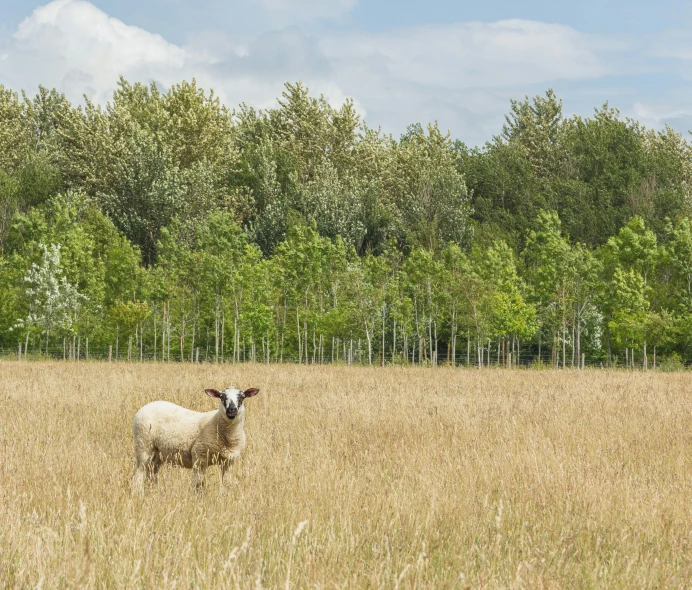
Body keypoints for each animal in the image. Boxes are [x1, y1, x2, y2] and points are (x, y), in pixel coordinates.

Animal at [132, 386, 260, 492]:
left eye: (242, 396)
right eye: (221, 396)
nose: (231, 410)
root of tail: (147, 406)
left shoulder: (228, 462)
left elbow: (227, 484)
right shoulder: (199, 457)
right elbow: (198, 485)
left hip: (158, 452)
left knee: (151, 471)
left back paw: (153, 491)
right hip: (142, 445)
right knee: (138, 473)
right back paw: (139, 493)